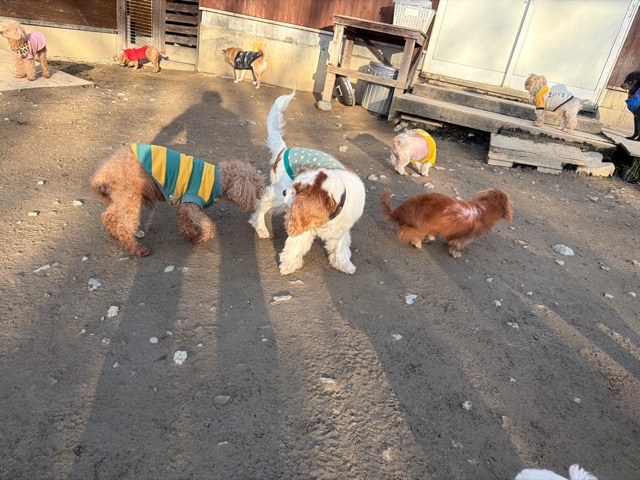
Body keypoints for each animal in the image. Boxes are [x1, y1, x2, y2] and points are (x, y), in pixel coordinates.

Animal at [89, 143, 264, 257]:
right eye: (257, 185)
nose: (263, 194)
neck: (218, 180)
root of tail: (101, 172)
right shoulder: (191, 203)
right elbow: (208, 225)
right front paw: (201, 238)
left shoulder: (182, 205)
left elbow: (185, 222)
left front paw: (191, 235)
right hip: (130, 197)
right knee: (125, 227)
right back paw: (137, 249)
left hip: (123, 198)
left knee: (108, 216)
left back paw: (114, 234)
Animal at [249, 91, 366, 275]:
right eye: (294, 187)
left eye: (298, 190)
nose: (286, 191)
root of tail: (284, 150)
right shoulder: (302, 221)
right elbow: (295, 245)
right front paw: (289, 264)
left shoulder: (342, 229)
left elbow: (340, 246)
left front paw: (343, 263)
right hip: (278, 196)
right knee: (262, 202)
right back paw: (260, 227)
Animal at [380, 188, 513, 257]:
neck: (484, 209)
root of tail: (401, 211)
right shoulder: (464, 237)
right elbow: (456, 245)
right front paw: (456, 253)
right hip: (420, 226)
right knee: (410, 234)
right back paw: (418, 242)